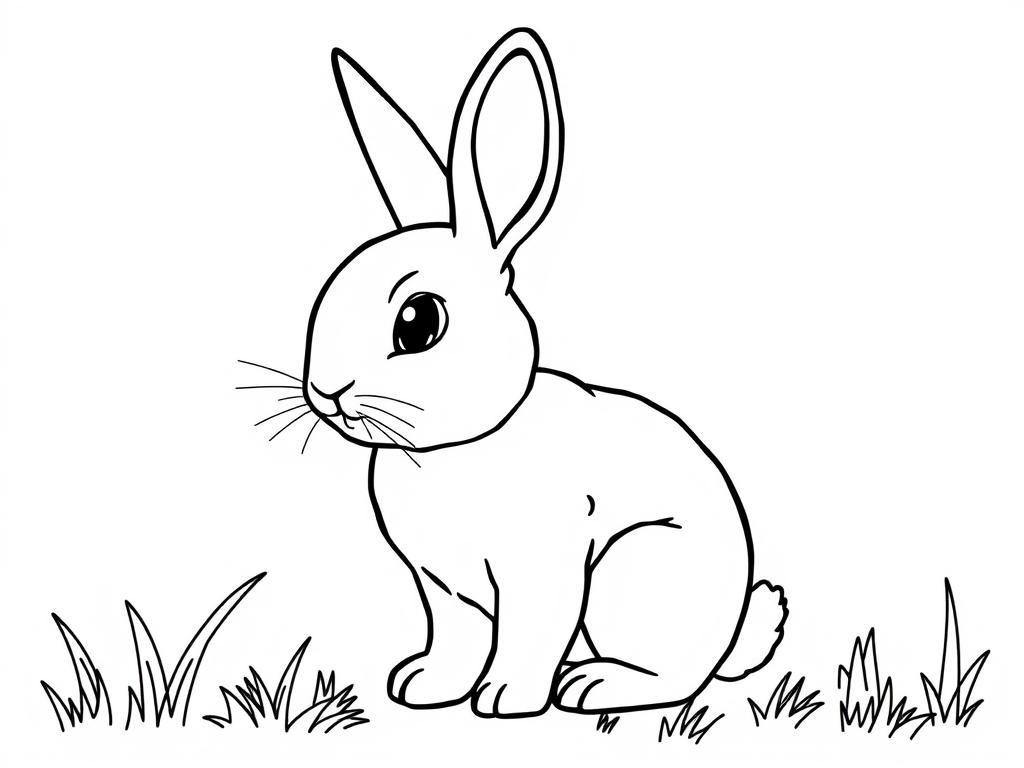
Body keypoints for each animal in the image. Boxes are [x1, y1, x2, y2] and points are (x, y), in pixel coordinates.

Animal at [302, 28, 787, 717]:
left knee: (675, 677)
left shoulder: (544, 567)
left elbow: (531, 632)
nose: (325, 392)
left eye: (418, 323)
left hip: (631, 573)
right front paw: (423, 686)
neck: (457, 451)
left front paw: (505, 698)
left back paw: (594, 685)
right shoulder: (442, 589)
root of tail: (730, 633)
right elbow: (455, 639)